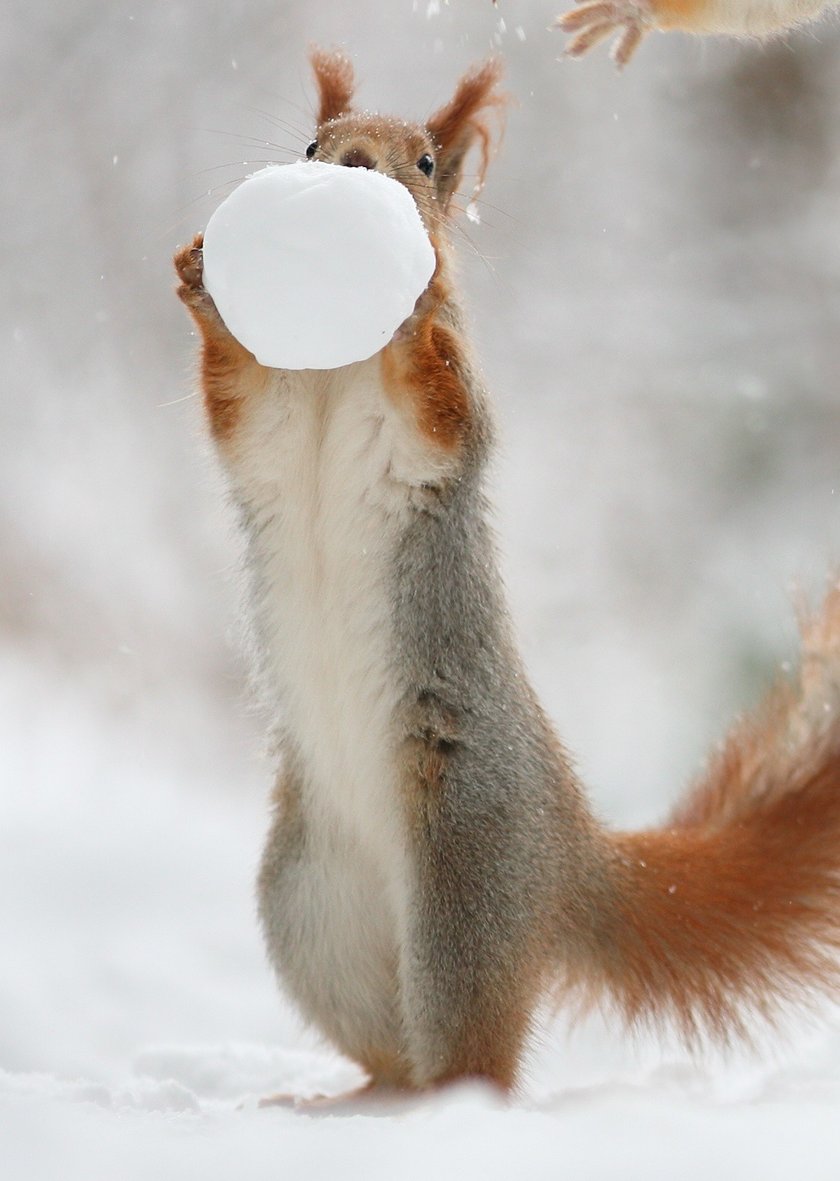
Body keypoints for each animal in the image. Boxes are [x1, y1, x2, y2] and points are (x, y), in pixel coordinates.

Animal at [173, 48, 840, 1095]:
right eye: (313, 145)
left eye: (427, 161)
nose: (353, 165)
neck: (337, 370)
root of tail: (570, 856)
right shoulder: (269, 436)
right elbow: (241, 411)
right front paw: (205, 283)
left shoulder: (445, 434)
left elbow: (442, 407)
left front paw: (413, 312)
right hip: (311, 908)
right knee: (391, 1042)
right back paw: (354, 1104)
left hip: (467, 889)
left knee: (471, 1052)